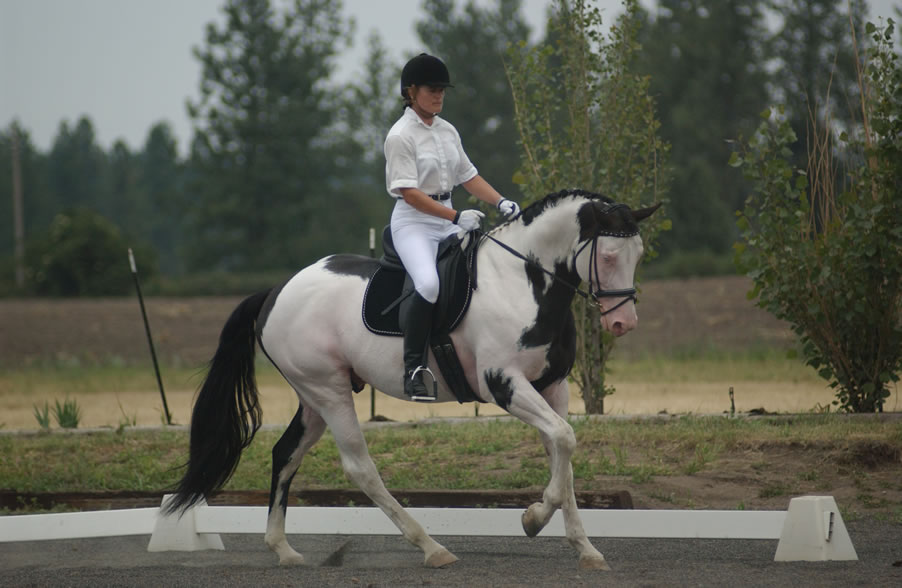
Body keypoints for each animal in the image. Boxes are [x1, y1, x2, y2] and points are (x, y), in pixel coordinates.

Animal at [168, 188, 664, 568]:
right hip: (328, 390)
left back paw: (283, 550)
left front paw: (585, 548)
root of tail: (275, 291)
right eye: (610, 254)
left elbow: (565, 455)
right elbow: (564, 441)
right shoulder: (503, 384)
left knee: (285, 455)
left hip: (313, 397)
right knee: (360, 467)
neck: (524, 282)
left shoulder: (552, 388)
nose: (624, 323)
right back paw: (431, 547)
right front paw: (533, 518)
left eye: (638, 254)